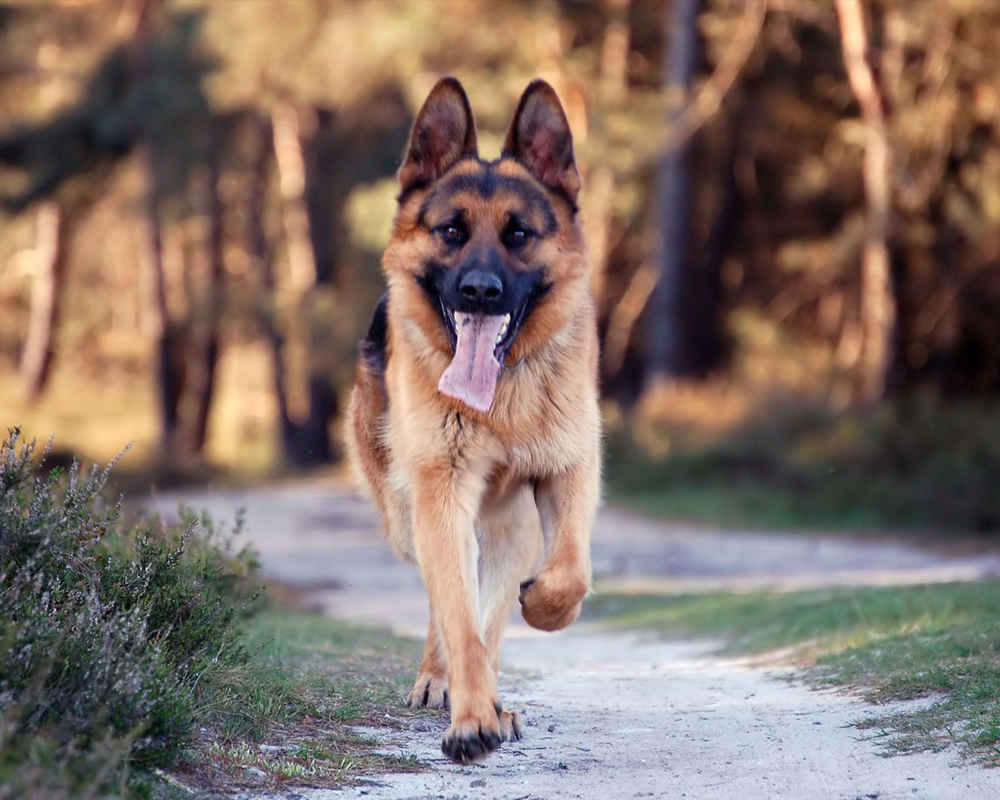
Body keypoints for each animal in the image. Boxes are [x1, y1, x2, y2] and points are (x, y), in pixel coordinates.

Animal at [346, 78, 592, 764]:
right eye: (452, 230)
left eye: (519, 234)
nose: (480, 291)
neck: (501, 402)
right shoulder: (442, 495)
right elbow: (457, 615)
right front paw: (472, 718)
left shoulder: (570, 472)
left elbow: (570, 573)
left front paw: (544, 609)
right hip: (410, 517)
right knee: (445, 603)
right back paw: (444, 681)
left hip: (510, 531)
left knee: (493, 608)